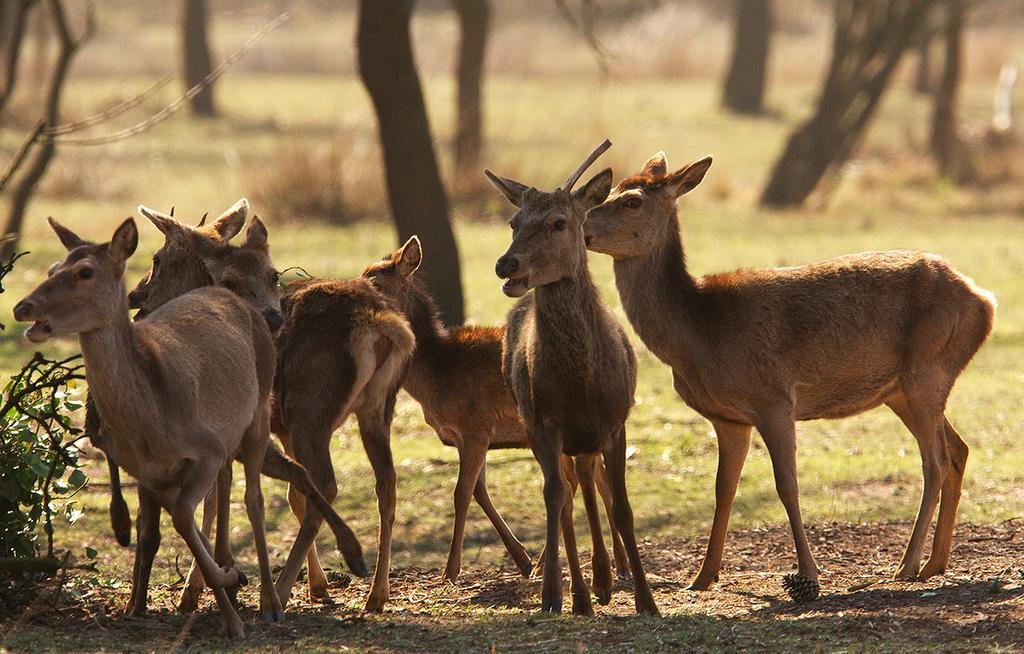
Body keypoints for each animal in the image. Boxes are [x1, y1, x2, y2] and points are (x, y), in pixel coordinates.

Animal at [14, 216, 284, 638]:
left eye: (85, 272)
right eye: (51, 269)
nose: (22, 306)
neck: (152, 420)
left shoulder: (207, 447)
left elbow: (187, 517)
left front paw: (232, 602)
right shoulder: (147, 471)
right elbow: (181, 525)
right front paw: (226, 588)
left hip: (259, 410)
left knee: (254, 499)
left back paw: (271, 604)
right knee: (222, 492)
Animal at [360, 239, 630, 597]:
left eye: (376, 282)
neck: (435, 375)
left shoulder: (475, 426)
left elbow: (461, 493)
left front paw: (450, 571)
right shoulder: (474, 436)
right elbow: (479, 490)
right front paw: (522, 560)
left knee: (578, 481)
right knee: (593, 478)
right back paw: (609, 566)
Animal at [489, 141, 663, 618]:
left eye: (559, 222)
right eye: (513, 222)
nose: (506, 264)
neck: (581, 384)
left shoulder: (617, 421)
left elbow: (622, 507)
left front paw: (646, 600)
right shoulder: (544, 422)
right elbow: (554, 498)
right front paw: (552, 595)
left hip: (586, 436)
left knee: (585, 480)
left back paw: (603, 581)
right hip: (535, 426)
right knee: (567, 492)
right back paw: (583, 595)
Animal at [585, 153, 999, 597]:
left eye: (631, 201)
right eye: (610, 191)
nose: (582, 227)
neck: (698, 334)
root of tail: (985, 302)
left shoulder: (774, 399)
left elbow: (787, 485)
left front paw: (808, 575)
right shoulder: (728, 419)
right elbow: (723, 490)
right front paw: (702, 577)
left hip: (926, 370)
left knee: (934, 461)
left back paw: (907, 565)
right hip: (903, 390)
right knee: (958, 450)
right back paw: (935, 564)